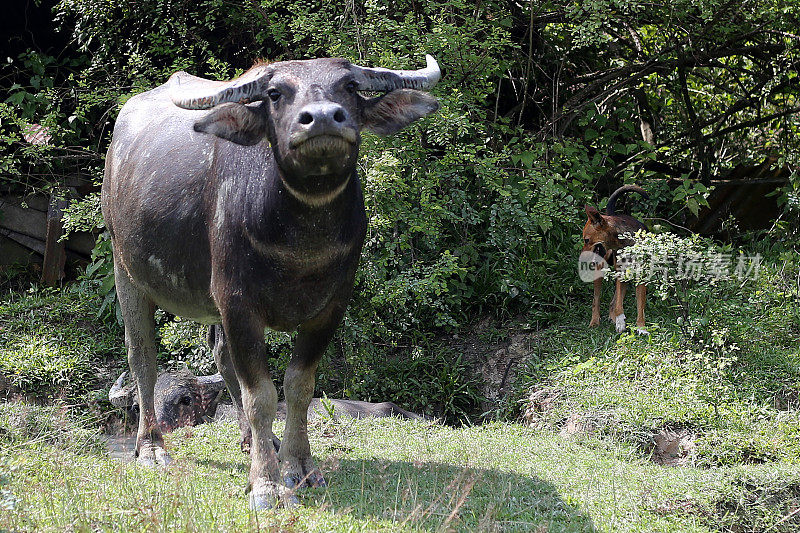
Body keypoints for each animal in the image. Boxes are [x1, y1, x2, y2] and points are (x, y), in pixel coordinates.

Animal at [102, 55, 440, 508]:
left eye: (350, 86)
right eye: (275, 93)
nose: (322, 119)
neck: (302, 240)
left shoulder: (330, 309)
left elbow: (299, 386)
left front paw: (300, 467)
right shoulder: (239, 305)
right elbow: (261, 394)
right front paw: (266, 484)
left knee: (221, 356)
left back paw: (256, 442)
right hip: (127, 273)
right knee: (143, 359)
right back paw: (152, 448)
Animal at [584, 185, 648, 330]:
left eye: (586, 240)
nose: (582, 257)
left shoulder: (640, 276)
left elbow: (640, 306)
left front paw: (641, 328)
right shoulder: (620, 274)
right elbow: (618, 304)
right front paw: (620, 321)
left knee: (613, 302)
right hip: (601, 269)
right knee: (597, 300)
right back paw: (595, 321)